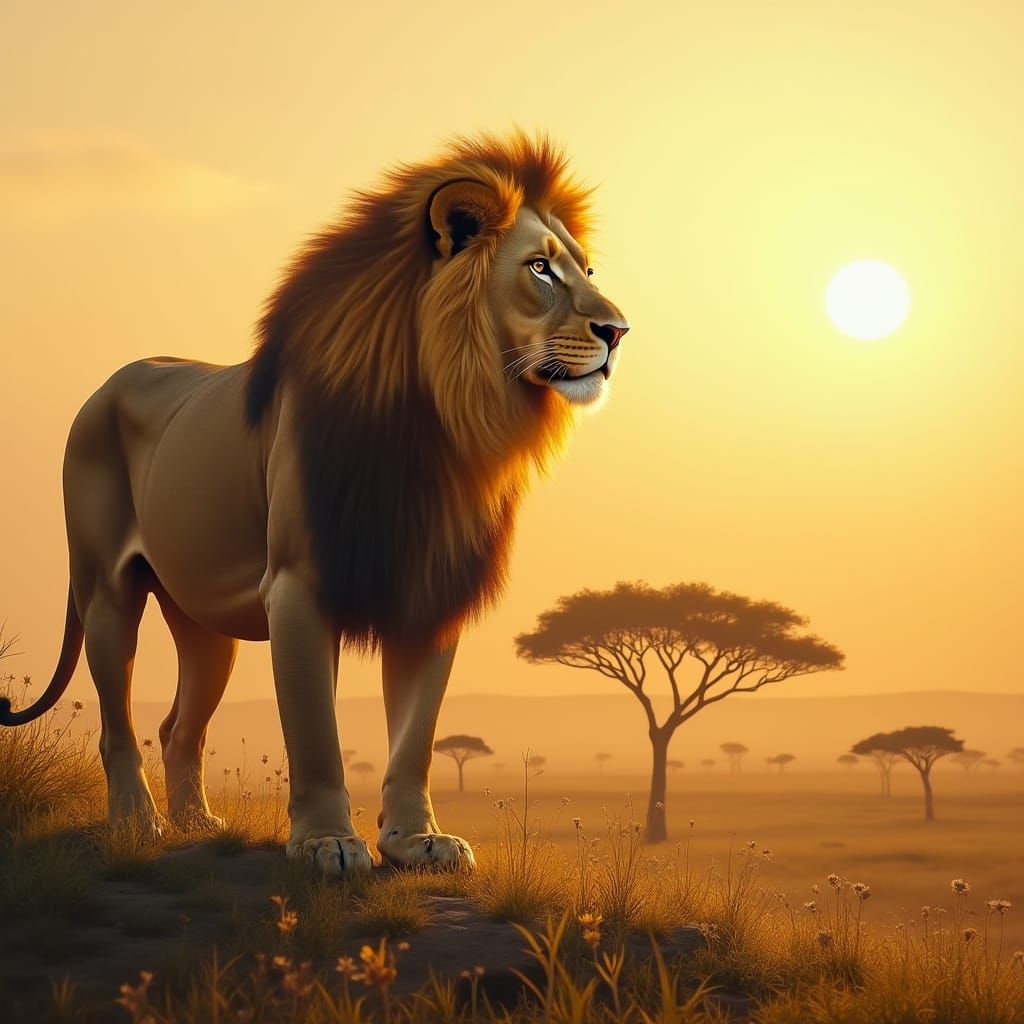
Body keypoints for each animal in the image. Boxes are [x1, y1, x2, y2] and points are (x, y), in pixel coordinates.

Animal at [0, 133, 629, 876]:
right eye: (539, 268)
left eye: (586, 268)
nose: (618, 330)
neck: (439, 426)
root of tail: (109, 382)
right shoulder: (299, 587)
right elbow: (315, 733)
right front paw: (326, 843)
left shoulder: (429, 589)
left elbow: (415, 735)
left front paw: (417, 840)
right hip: (105, 590)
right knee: (117, 723)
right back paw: (138, 823)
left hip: (205, 622)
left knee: (178, 726)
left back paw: (198, 824)